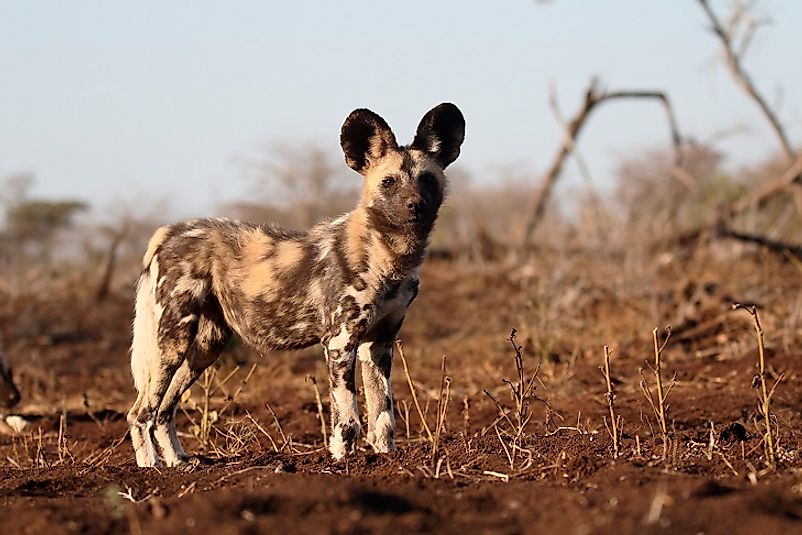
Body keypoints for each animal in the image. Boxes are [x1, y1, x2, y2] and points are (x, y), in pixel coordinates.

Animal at [124, 102, 462, 466]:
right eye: (388, 182)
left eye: (427, 179)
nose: (415, 205)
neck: (389, 256)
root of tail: (170, 231)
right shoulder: (340, 343)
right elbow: (348, 417)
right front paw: (342, 462)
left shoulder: (379, 345)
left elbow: (383, 414)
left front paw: (387, 458)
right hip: (173, 340)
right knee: (140, 412)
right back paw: (151, 467)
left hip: (205, 346)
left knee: (163, 410)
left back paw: (178, 463)